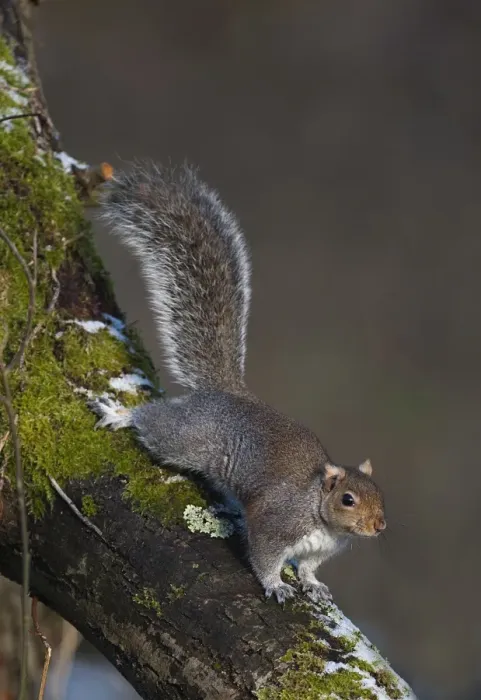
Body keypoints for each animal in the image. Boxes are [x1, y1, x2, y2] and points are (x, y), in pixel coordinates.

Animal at [89, 162, 386, 605]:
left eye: (379, 492)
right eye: (348, 499)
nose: (379, 525)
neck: (320, 512)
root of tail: (228, 394)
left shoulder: (318, 550)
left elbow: (310, 567)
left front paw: (313, 585)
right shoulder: (276, 522)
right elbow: (263, 556)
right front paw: (276, 585)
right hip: (188, 438)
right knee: (156, 425)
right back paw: (121, 413)